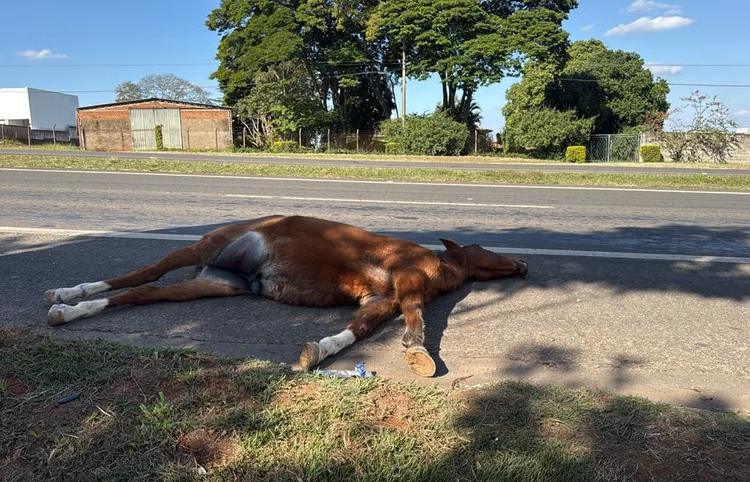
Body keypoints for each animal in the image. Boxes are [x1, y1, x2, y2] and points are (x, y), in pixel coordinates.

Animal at [44, 215, 528, 377]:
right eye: (482, 247)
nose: (522, 265)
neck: (437, 267)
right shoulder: (406, 278)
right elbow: (416, 317)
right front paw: (418, 352)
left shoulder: (378, 300)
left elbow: (358, 330)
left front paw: (317, 352)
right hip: (201, 249)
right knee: (140, 275)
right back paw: (70, 293)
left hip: (213, 283)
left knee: (143, 292)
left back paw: (69, 311)